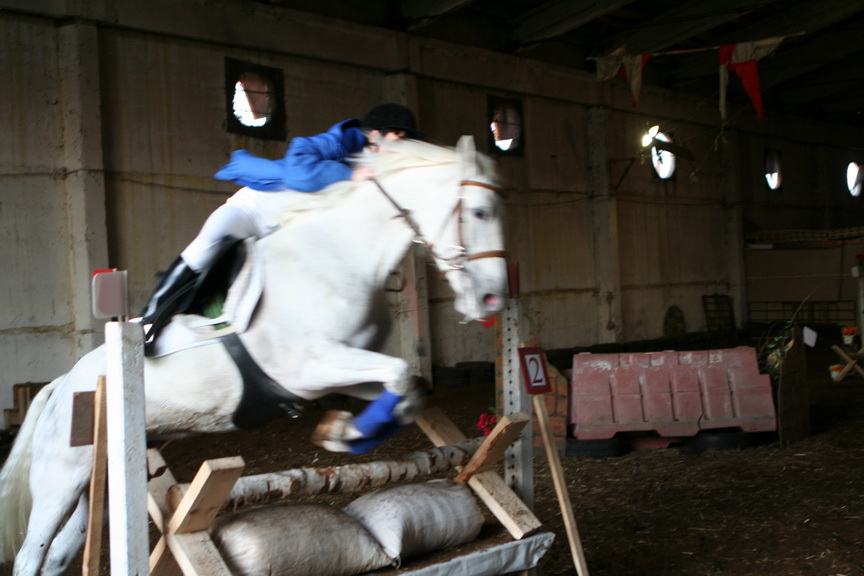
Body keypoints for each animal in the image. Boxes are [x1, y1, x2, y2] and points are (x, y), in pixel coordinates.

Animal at [0, 135, 508, 575]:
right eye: (480, 211)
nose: (492, 300)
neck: (340, 256)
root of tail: (61, 384)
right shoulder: (310, 369)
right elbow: (401, 373)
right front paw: (346, 433)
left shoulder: (344, 370)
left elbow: (407, 387)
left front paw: (345, 432)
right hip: (60, 476)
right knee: (32, 553)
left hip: (96, 479)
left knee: (59, 554)